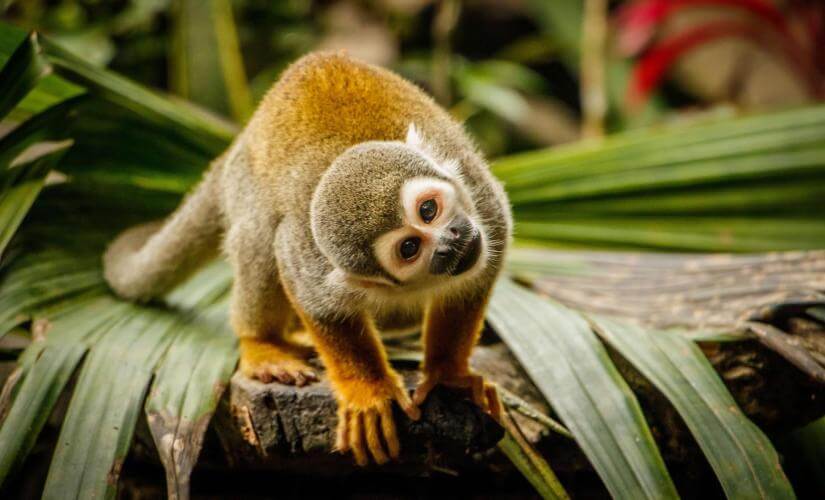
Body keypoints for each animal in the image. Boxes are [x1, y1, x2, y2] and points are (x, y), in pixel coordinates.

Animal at [103, 52, 512, 466]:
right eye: (410, 248)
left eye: (429, 210)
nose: (450, 240)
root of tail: (239, 141)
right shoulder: (310, 256)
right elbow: (317, 300)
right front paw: (368, 391)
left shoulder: (482, 200)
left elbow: (474, 280)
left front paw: (448, 372)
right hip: (245, 185)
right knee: (260, 236)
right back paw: (262, 343)